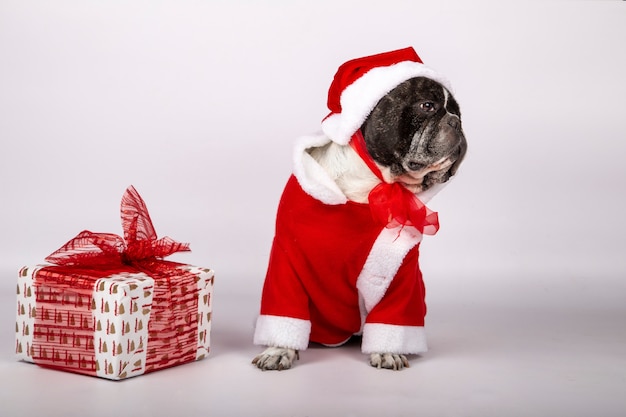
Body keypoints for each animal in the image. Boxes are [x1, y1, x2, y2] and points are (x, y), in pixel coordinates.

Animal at [250, 48, 464, 370]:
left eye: (459, 113)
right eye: (427, 106)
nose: (457, 123)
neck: (370, 185)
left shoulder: (401, 273)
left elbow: (392, 318)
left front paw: (388, 351)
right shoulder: (287, 260)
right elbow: (285, 311)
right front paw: (278, 350)